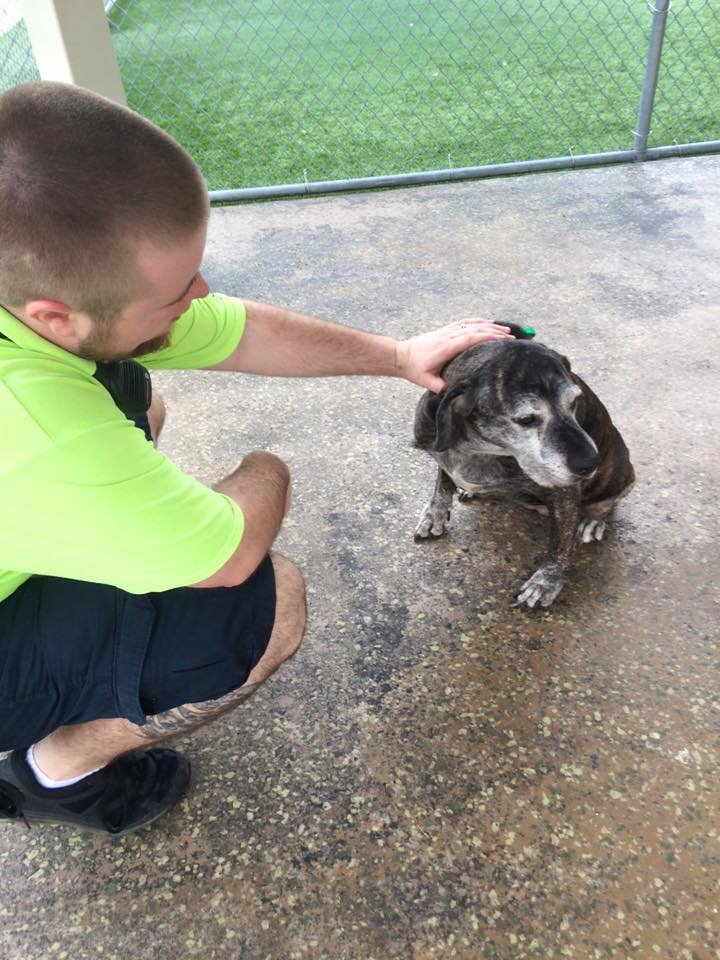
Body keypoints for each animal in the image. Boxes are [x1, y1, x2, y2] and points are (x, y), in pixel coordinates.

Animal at [414, 322, 632, 608]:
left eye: (574, 402)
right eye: (526, 419)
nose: (591, 463)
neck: (480, 448)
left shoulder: (564, 493)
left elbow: (561, 544)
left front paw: (546, 582)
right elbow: (443, 482)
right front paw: (435, 512)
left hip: (619, 473)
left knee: (608, 501)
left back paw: (593, 520)